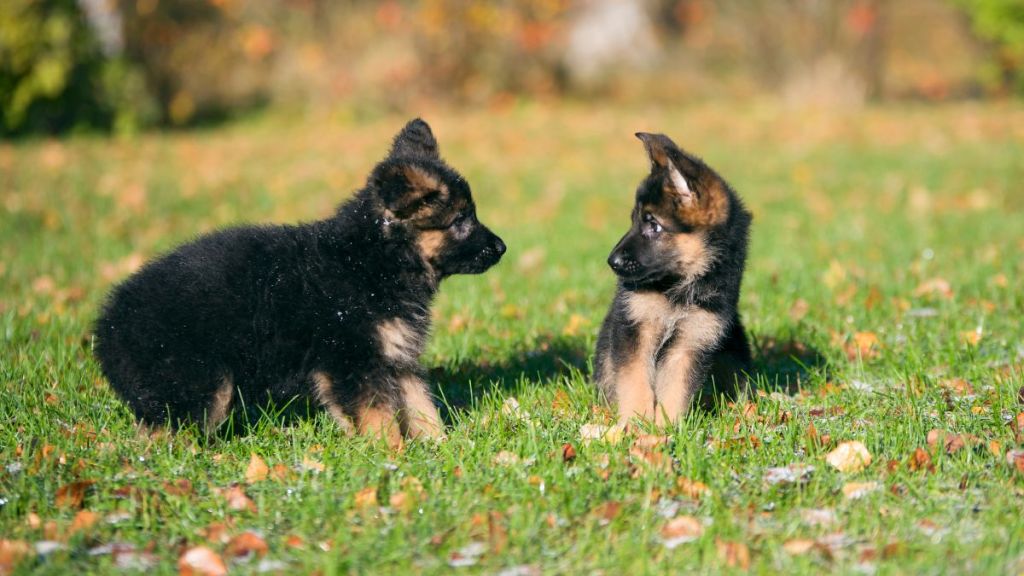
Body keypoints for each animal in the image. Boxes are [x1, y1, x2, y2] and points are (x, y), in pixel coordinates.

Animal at [96, 117, 503, 444]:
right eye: (461, 220)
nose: (502, 247)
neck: (372, 261)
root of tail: (108, 325)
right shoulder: (353, 360)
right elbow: (380, 417)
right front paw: (392, 457)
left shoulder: (394, 357)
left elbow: (422, 407)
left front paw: (442, 451)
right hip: (201, 383)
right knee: (168, 433)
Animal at [593, 131, 753, 426]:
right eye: (634, 220)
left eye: (653, 225)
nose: (612, 261)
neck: (677, 288)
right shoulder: (634, 328)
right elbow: (635, 382)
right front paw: (635, 425)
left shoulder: (691, 341)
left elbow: (676, 390)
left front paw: (665, 428)